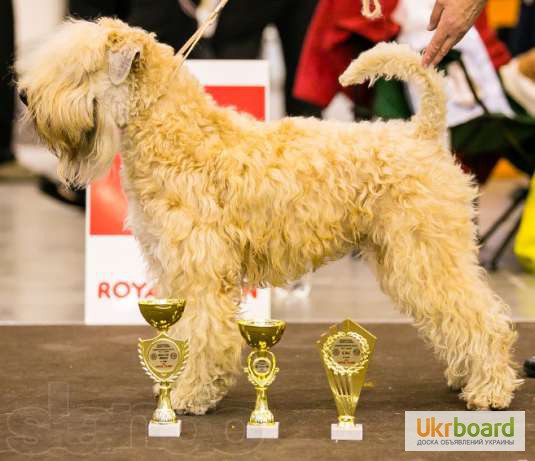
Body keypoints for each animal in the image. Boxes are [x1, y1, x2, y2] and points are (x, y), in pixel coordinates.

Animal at [18, 18, 520, 414]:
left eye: (78, 69)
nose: (25, 97)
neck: (176, 134)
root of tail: (423, 134)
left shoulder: (199, 270)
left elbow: (204, 333)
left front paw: (192, 395)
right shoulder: (174, 268)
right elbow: (184, 331)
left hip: (425, 253)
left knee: (484, 317)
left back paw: (491, 389)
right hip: (405, 258)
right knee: (454, 317)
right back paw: (466, 377)